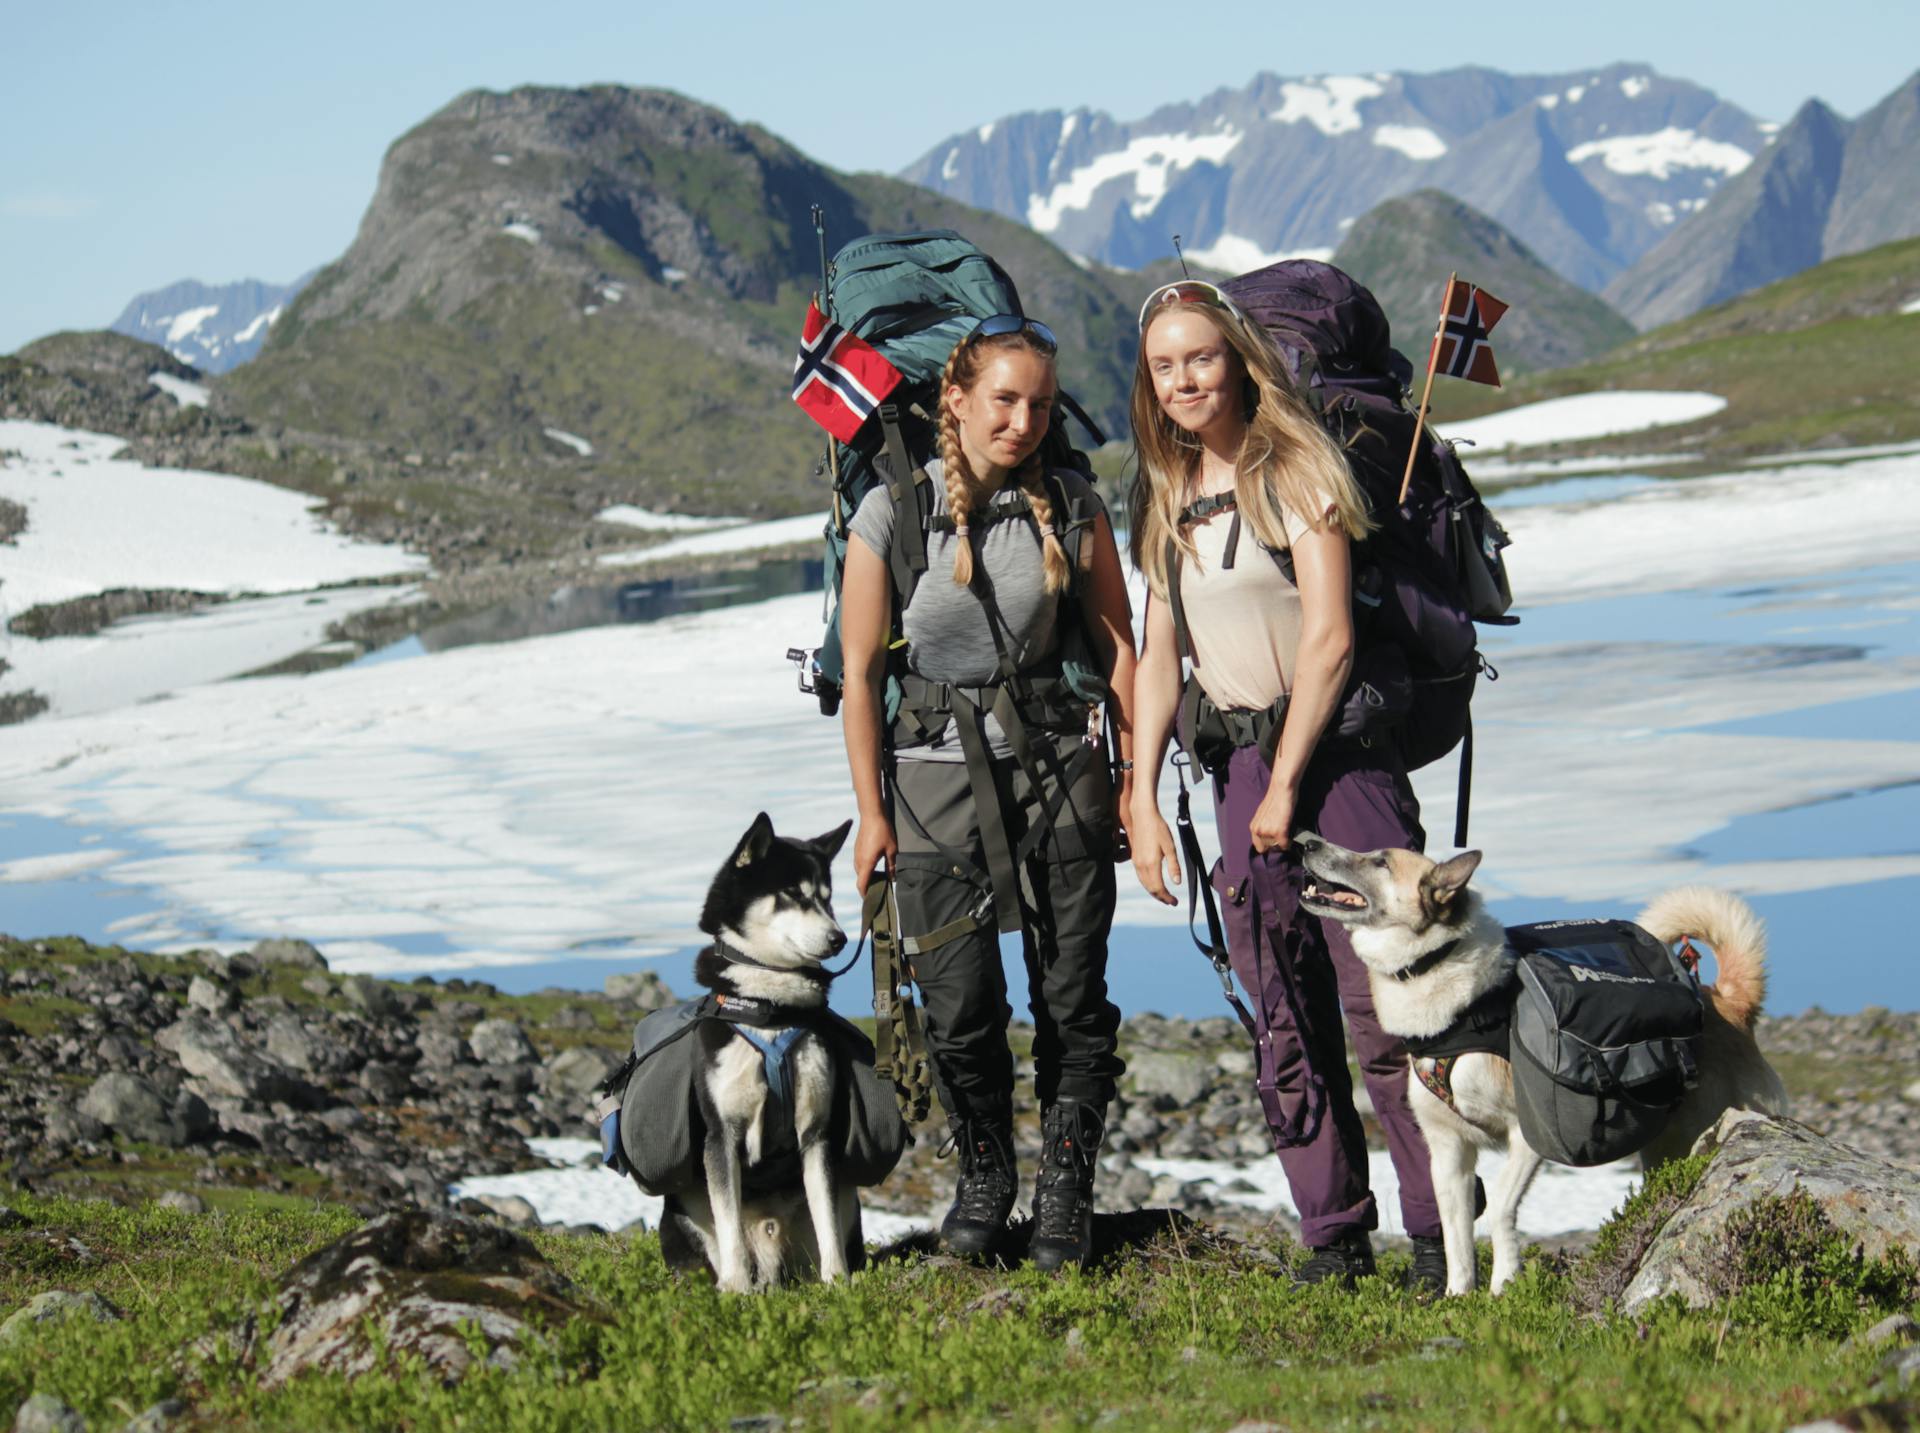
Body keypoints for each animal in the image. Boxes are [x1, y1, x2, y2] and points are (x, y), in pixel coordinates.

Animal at [1290, 825, 1781, 1298]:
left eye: (1381, 861)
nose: (1305, 842)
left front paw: (1504, 1282)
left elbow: (1500, 1207)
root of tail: (1730, 1002)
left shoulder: (1525, 1137)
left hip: (1697, 1133)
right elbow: (1455, 1235)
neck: (1435, 972)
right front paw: (1456, 1296)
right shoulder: (1448, 1150)